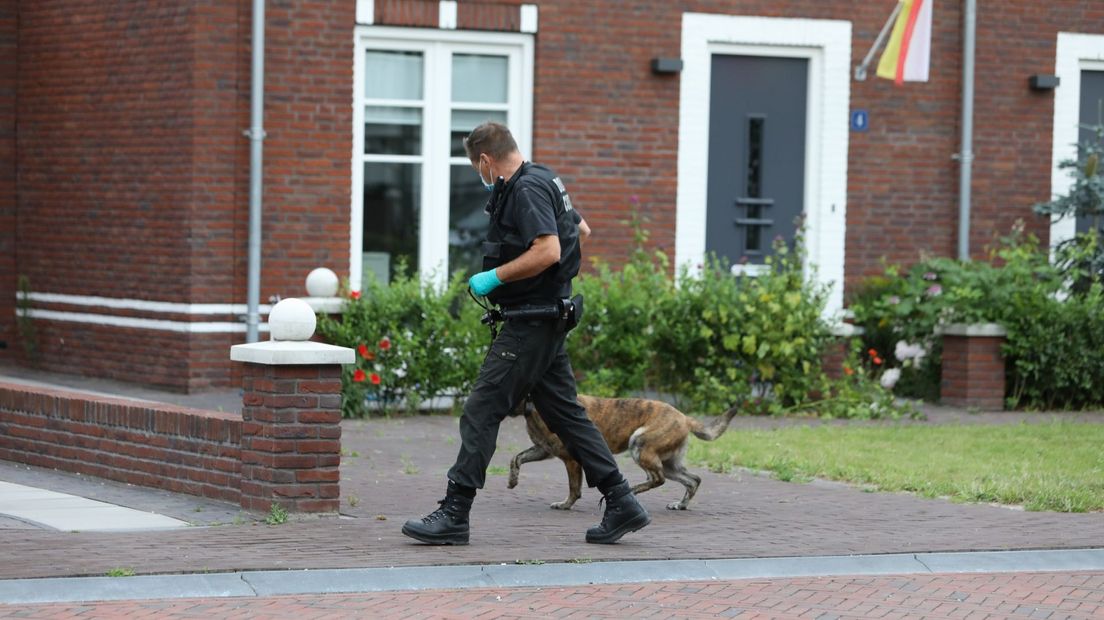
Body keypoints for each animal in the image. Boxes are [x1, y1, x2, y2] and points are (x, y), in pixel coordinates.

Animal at [507, 394, 741, 507]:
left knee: (657, 479)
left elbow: (574, 489)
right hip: (669, 464)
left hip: (639, 444)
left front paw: (565, 505)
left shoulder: (571, 461)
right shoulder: (542, 450)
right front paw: (512, 480)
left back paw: (633, 490)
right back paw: (680, 505)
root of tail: (684, 417)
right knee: (693, 480)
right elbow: (516, 458)